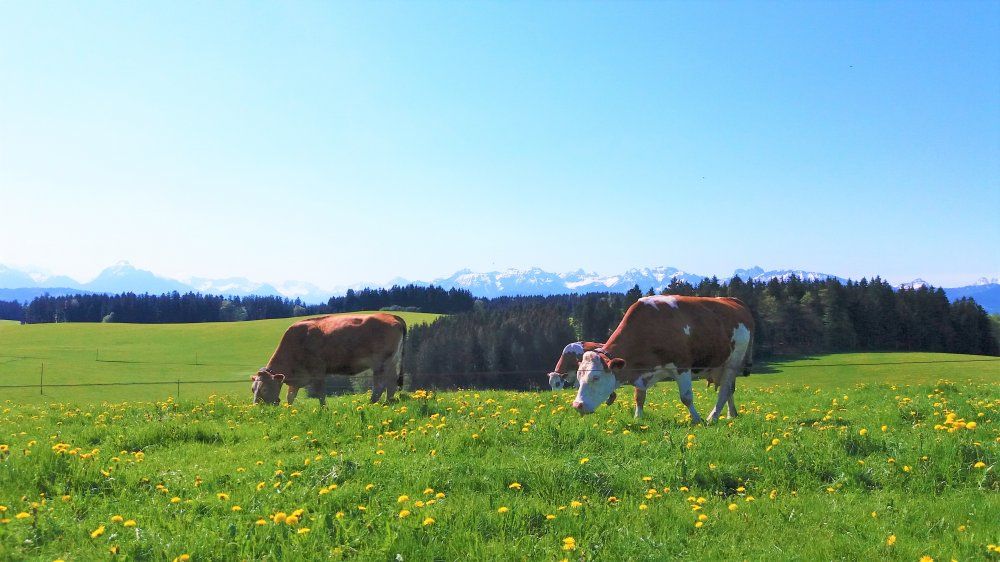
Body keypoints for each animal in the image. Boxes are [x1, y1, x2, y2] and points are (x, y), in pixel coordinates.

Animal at [251, 312, 406, 406]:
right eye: (253, 389)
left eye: (265, 389)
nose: (257, 407)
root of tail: (391, 315)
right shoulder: (297, 378)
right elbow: (290, 396)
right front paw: (289, 411)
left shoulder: (318, 370)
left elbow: (320, 394)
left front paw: (323, 409)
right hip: (392, 361)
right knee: (391, 382)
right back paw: (389, 402)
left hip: (381, 362)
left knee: (380, 384)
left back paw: (371, 403)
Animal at [571, 295, 754, 423]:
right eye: (578, 377)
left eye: (596, 377)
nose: (577, 405)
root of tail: (732, 300)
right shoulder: (641, 371)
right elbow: (639, 397)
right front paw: (638, 418)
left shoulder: (682, 366)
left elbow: (686, 397)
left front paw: (696, 419)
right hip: (719, 365)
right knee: (729, 389)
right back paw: (731, 415)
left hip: (733, 362)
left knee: (724, 390)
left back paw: (713, 417)